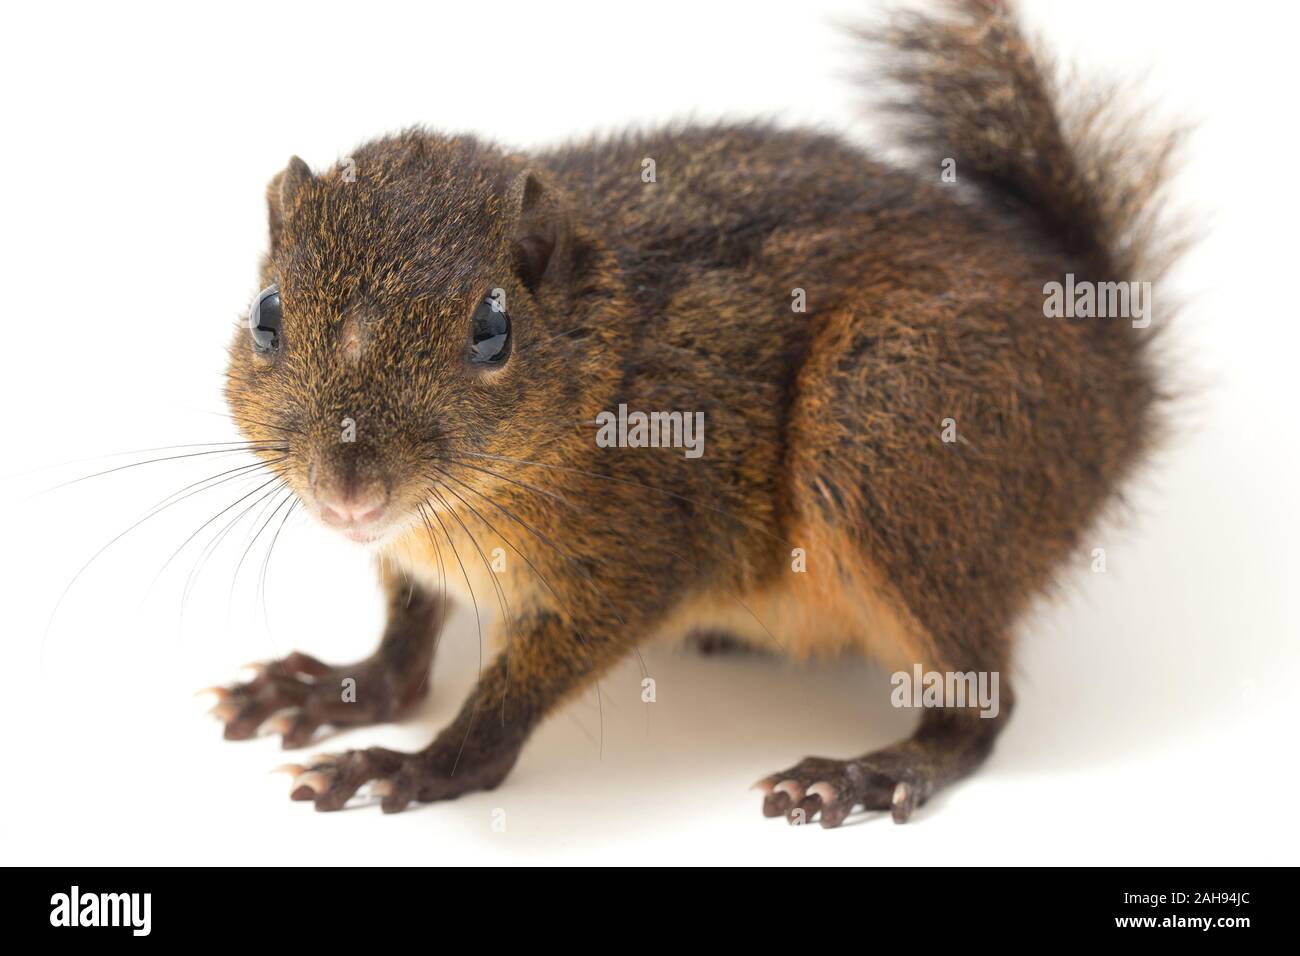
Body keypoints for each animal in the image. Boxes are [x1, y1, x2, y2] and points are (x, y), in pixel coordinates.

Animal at [209, 1, 1177, 826]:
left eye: (491, 331)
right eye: (266, 314)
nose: (348, 491)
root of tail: (1109, 370)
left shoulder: (644, 544)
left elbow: (514, 700)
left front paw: (412, 766)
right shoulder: (413, 552)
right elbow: (407, 646)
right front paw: (339, 688)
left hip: (887, 424)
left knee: (982, 708)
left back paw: (872, 772)